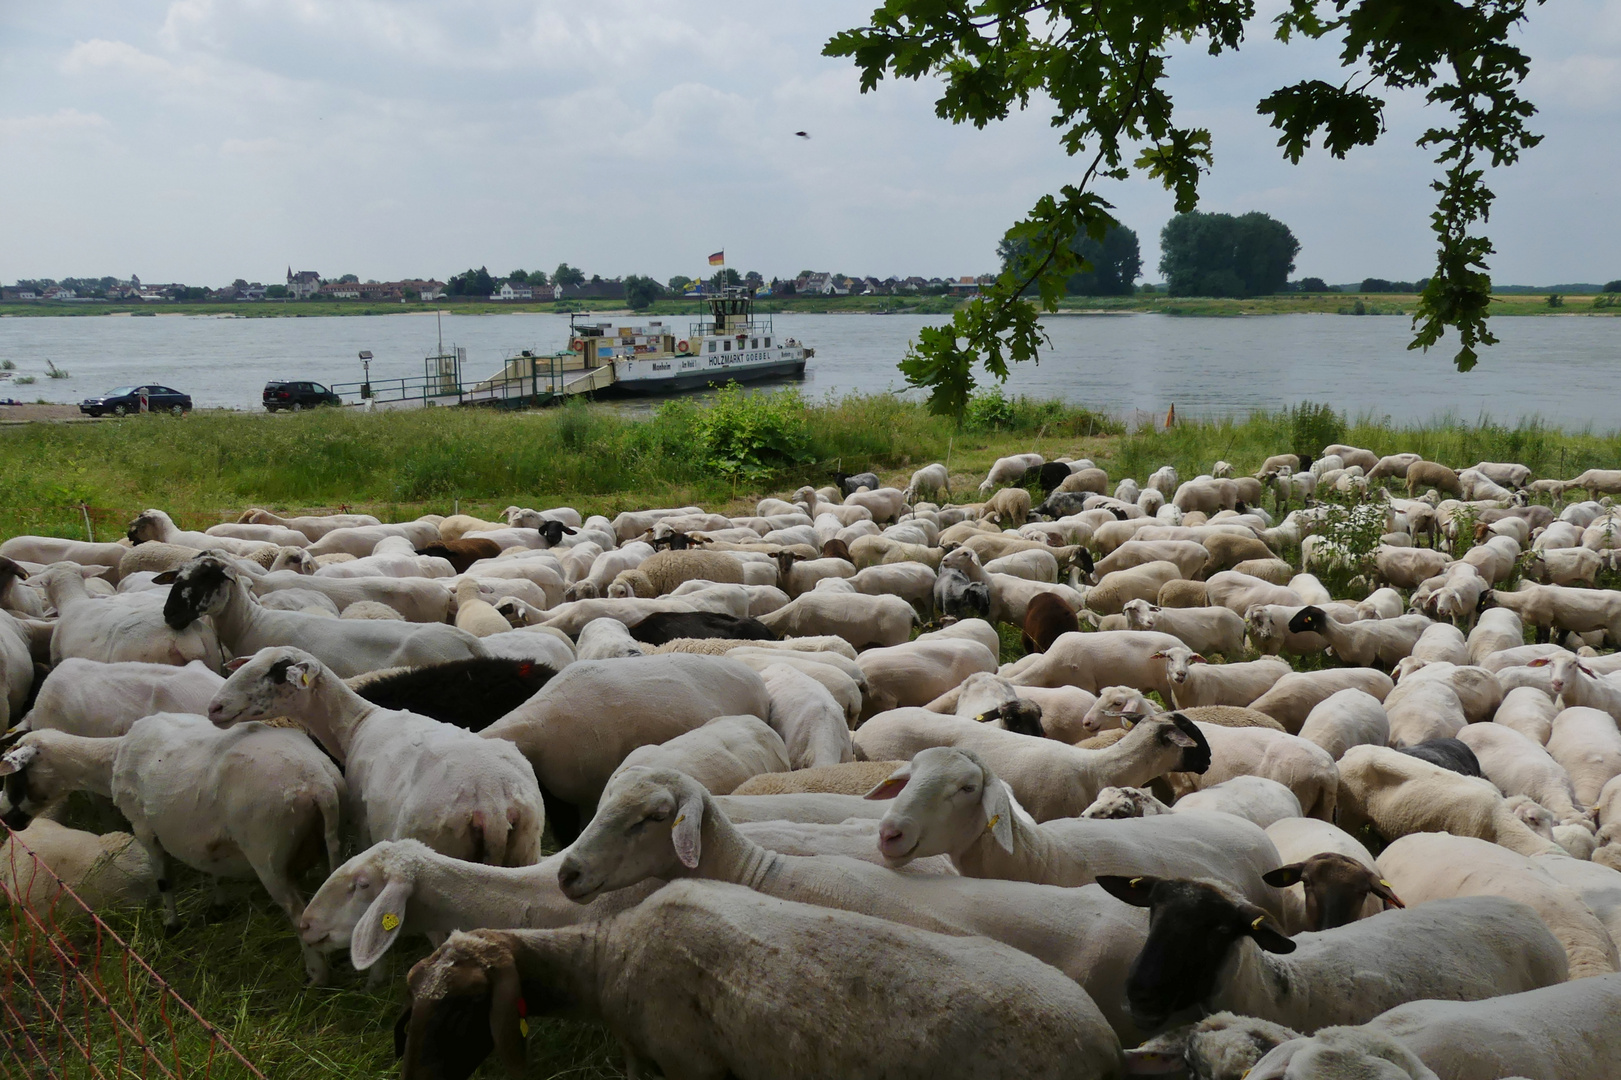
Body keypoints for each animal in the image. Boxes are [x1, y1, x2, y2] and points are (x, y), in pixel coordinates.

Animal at [0, 710, 342, 979]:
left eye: (14, 777)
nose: (5, 818)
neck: (111, 758)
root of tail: (319, 784)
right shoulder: (203, 834)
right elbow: (212, 868)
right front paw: (218, 905)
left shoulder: (144, 828)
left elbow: (164, 881)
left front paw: (171, 925)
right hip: (328, 844)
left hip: (267, 854)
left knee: (297, 913)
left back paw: (317, 976)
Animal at [209, 648, 544, 869]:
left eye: (277, 672)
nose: (215, 707)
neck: (358, 721)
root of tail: (492, 806)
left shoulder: (361, 818)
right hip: (526, 850)